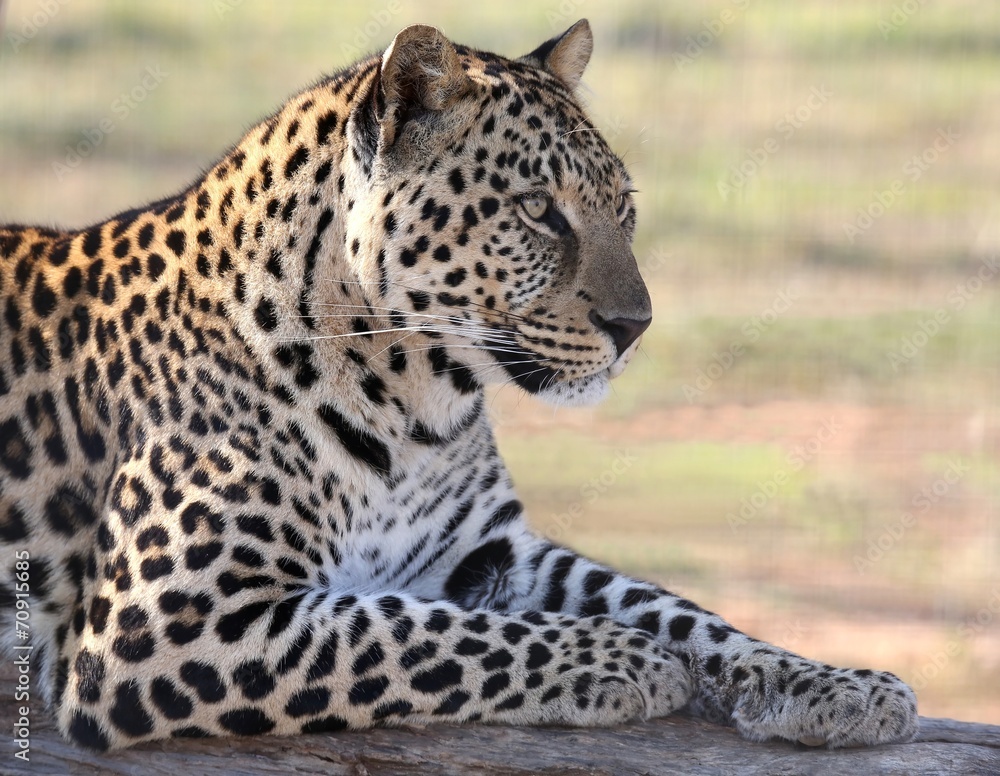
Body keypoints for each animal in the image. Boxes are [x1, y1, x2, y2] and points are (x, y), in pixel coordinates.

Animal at [0, 20, 918, 752]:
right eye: (538, 209)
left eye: (623, 205)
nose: (637, 326)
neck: (416, 405)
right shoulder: (160, 627)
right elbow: (414, 630)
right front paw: (624, 658)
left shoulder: (489, 548)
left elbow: (672, 606)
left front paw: (837, 684)